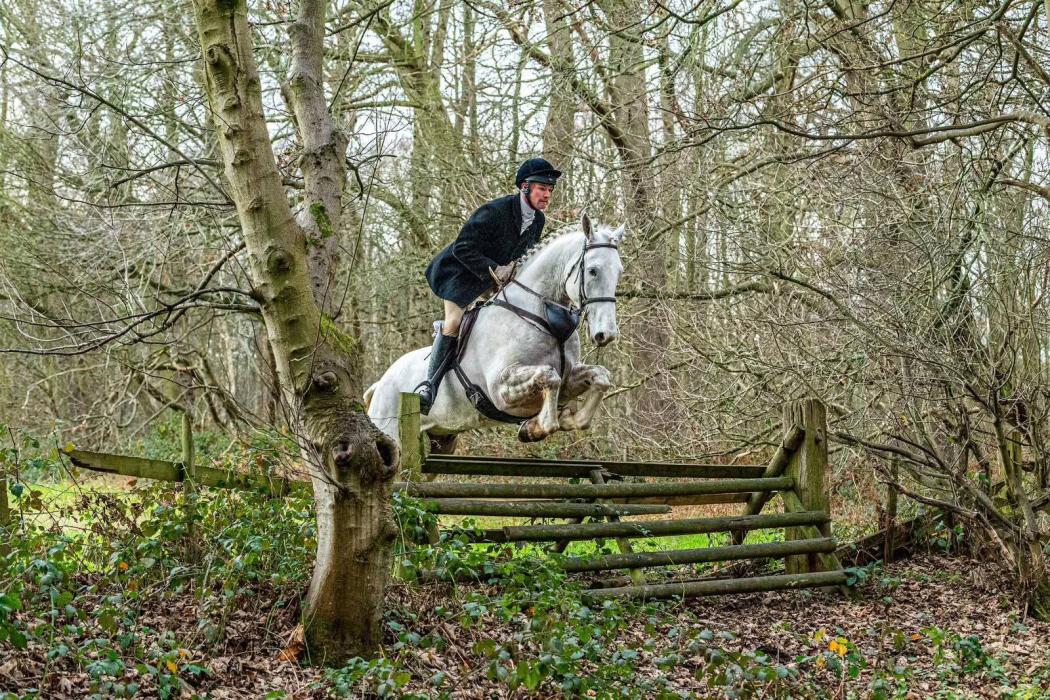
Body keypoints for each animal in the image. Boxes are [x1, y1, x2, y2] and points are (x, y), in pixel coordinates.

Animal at [364, 214, 626, 448]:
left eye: (619, 271)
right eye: (593, 271)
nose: (606, 334)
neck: (543, 315)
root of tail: (381, 383)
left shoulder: (569, 379)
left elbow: (600, 377)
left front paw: (569, 419)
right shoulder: (501, 389)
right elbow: (550, 377)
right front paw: (534, 428)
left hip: (443, 437)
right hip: (390, 432)